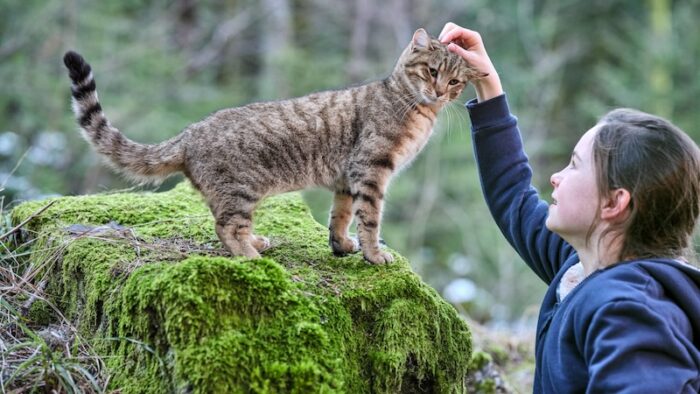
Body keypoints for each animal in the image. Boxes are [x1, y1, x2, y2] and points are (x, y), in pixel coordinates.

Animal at [63, 26, 484, 262]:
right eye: (431, 71)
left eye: (455, 82)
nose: (439, 92)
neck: (414, 108)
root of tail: (190, 132)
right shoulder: (372, 170)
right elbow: (369, 219)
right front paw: (374, 255)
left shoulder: (348, 180)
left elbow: (341, 216)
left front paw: (342, 247)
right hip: (240, 190)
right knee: (226, 228)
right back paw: (251, 257)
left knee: (228, 224)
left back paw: (257, 243)